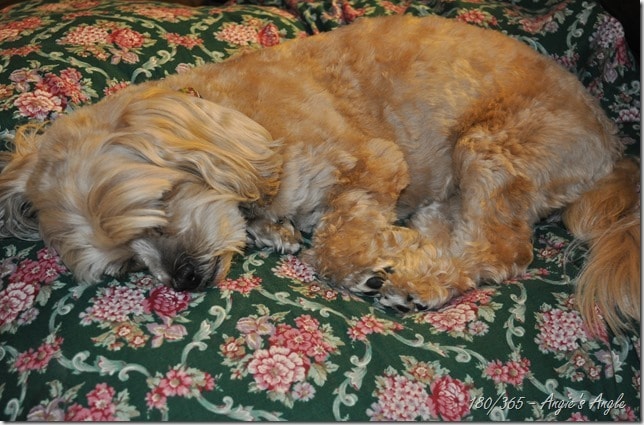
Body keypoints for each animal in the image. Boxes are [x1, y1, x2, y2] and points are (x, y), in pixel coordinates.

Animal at [0, 15, 640, 334]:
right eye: (127, 266)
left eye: (158, 210)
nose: (182, 280)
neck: (242, 120)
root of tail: (611, 145)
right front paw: (277, 233)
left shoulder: (376, 161)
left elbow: (333, 244)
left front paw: (360, 264)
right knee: (462, 230)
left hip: (490, 147)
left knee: (501, 251)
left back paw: (416, 280)